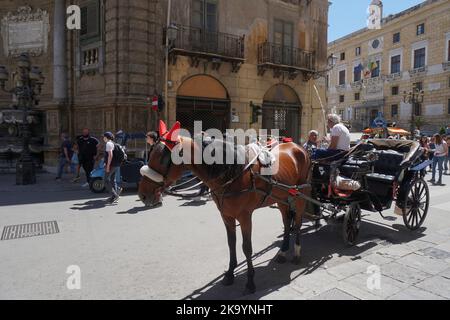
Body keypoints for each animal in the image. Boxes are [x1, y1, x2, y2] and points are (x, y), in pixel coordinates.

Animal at [139, 120, 312, 296]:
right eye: (150, 153)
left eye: (163, 158)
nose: (143, 194)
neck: (232, 173)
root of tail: (298, 146)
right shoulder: (226, 215)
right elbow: (231, 243)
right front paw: (229, 273)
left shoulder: (245, 216)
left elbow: (247, 248)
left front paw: (250, 282)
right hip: (282, 198)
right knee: (287, 222)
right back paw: (283, 251)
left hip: (300, 195)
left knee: (297, 223)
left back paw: (297, 252)